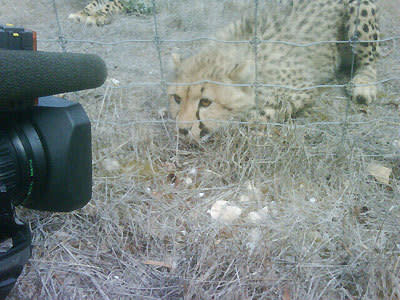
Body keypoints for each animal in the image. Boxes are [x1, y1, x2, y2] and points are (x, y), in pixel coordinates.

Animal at [167, 0, 380, 142]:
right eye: (177, 99)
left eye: (205, 102)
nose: (182, 130)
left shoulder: (302, 89)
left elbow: (258, 116)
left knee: (370, 61)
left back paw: (364, 85)